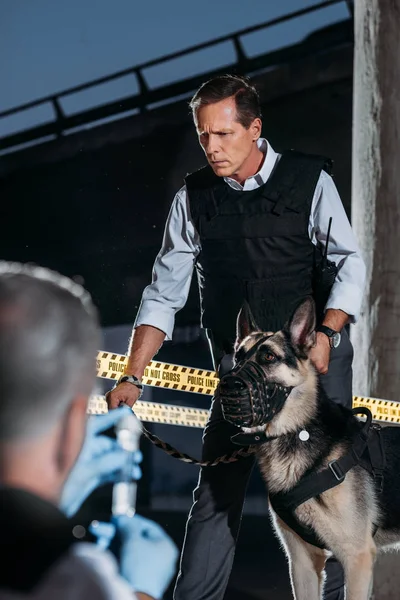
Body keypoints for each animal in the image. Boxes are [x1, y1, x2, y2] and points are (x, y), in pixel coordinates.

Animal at [219, 298, 400, 600]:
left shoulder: (357, 558)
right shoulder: (302, 562)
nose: (227, 385)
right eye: (238, 357)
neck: (297, 431)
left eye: (269, 357)